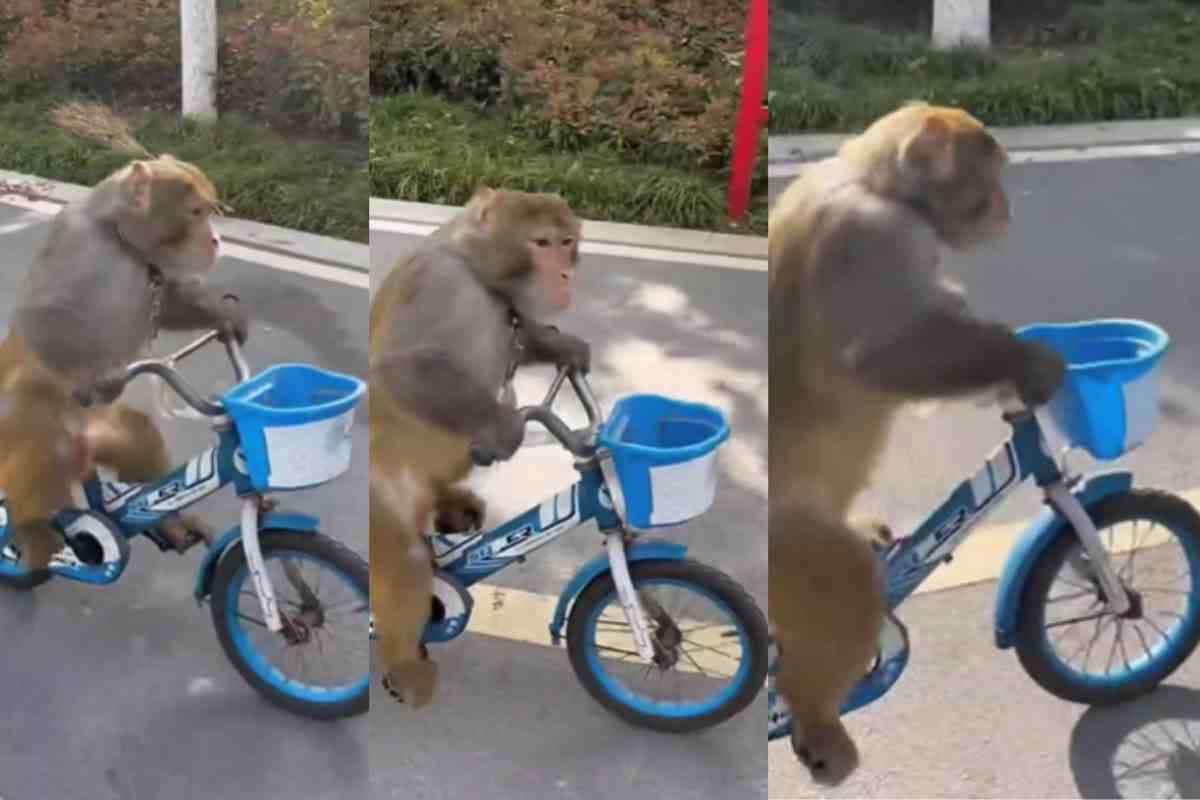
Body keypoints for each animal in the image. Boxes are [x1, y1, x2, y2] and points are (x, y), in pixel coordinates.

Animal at [0, 102, 248, 570]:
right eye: (196, 213)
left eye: (209, 211)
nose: (215, 239)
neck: (121, 242)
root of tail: (79, 441)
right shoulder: (75, 242)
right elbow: (40, 316)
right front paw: (101, 379)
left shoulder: (152, 270)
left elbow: (169, 300)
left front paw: (224, 317)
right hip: (33, 420)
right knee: (35, 425)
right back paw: (34, 538)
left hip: (101, 428)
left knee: (136, 436)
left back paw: (173, 522)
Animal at [369, 187, 590, 705]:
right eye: (541, 243)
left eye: (566, 242)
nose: (566, 274)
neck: (476, 269)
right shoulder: (437, 283)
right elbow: (400, 367)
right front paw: (506, 427)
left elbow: (525, 333)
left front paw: (567, 348)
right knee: (406, 557)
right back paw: (406, 667)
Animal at [767, 102, 1067, 785]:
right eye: (990, 176)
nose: (1008, 206)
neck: (879, 185)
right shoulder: (869, 239)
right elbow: (881, 355)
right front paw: (1024, 358)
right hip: (788, 546)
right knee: (843, 586)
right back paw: (816, 720)